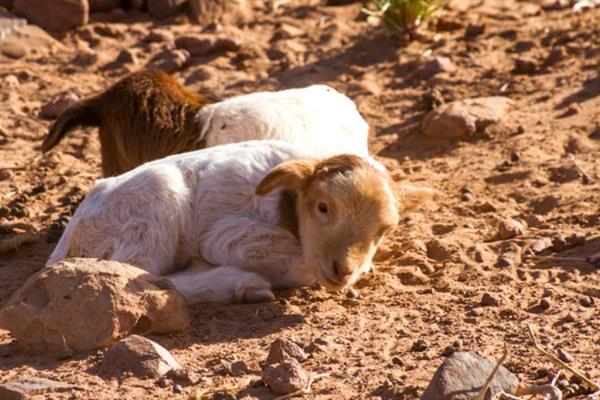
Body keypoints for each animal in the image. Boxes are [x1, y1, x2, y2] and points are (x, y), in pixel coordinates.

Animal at [47, 140, 400, 304]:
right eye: (323, 207)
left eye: (382, 232)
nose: (343, 270)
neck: (286, 204)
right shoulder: (228, 236)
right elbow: (297, 266)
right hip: (150, 212)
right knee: (136, 279)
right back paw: (241, 283)